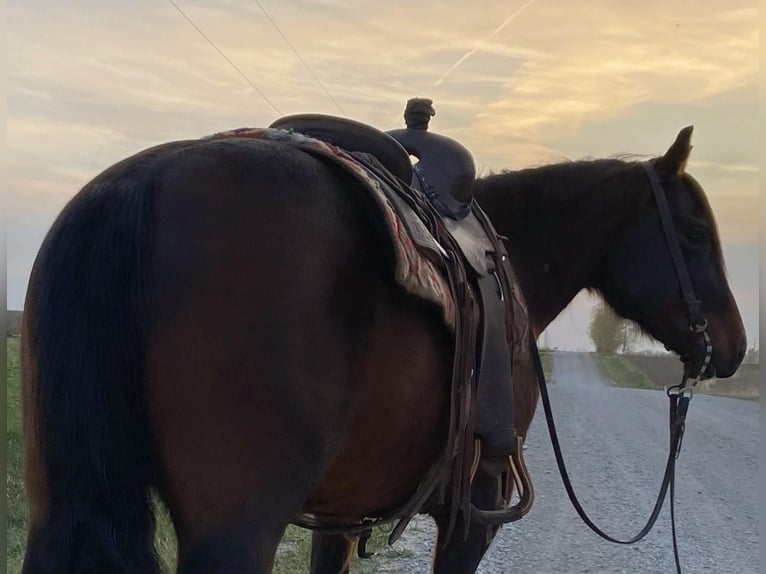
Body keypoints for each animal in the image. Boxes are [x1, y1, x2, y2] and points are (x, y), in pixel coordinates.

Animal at [21, 127, 748, 574]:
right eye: (690, 234)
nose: (735, 346)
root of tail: (144, 183)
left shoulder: (339, 516)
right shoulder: (472, 515)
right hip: (234, 526)